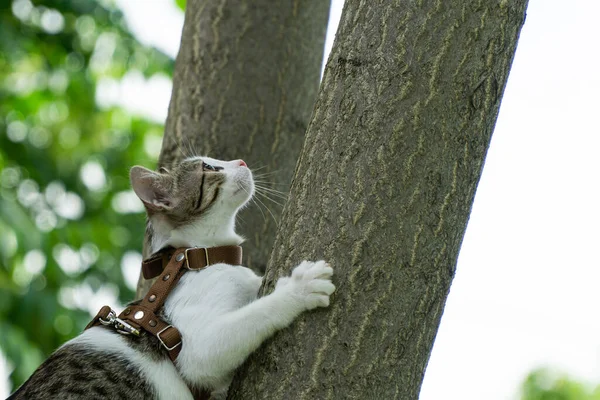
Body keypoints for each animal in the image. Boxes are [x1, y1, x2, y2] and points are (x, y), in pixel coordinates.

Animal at [9, 155, 336, 396]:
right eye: (209, 167)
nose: (242, 161)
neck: (198, 256)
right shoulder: (196, 348)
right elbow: (253, 316)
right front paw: (300, 289)